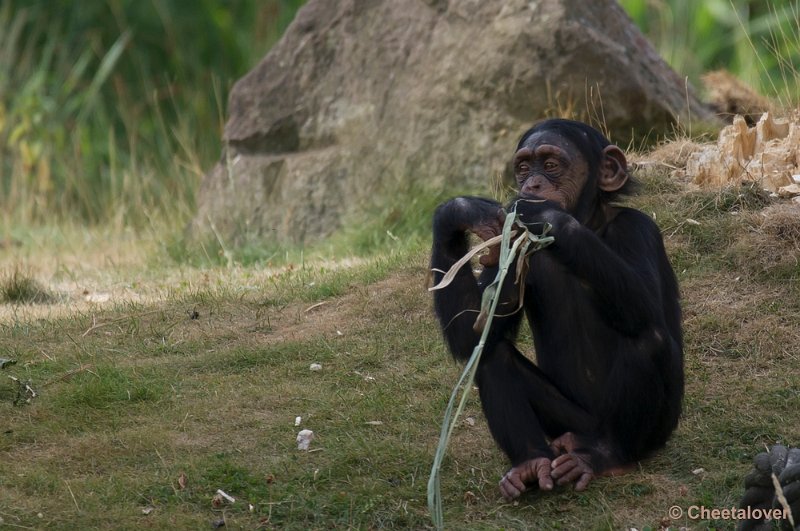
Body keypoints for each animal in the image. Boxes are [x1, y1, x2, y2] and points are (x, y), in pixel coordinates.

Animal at [432, 118, 680, 500]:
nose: (532, 184)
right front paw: (463, 210)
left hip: (656, 430)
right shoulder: (509, 249)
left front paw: (544, 214)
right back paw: (531, 462)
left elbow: (646, 304)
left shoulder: (638, 229)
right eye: (523, 168)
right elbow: (473, 332)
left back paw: (608, 456)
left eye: (550, 165)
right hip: (566, 422)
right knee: (490, 354)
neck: (590, 221)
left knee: (647, 337)